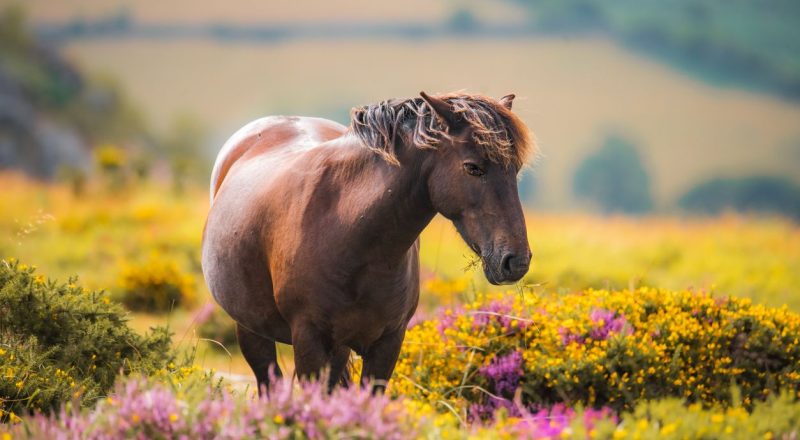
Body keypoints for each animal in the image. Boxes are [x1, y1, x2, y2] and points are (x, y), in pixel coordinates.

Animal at [203, 91, 536, 390]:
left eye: (515, 170)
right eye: (472, 167)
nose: (516, 261)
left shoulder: (387, 343)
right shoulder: (308, 340)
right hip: (252, 331)